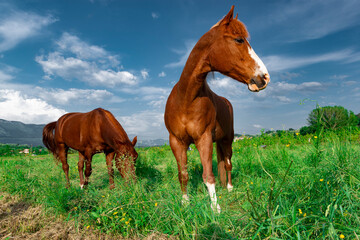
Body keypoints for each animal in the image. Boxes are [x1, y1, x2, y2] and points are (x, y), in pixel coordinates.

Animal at [165, 5, 268, 212]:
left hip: (227, 140)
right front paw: (185, 202)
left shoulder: (203, 138)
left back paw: (229, 187)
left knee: (227, 164)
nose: (265, 77)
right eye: (239, 39)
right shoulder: (176, 141)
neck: (185, 99)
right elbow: (183, 174)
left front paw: (215, 209)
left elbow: (208, 175)